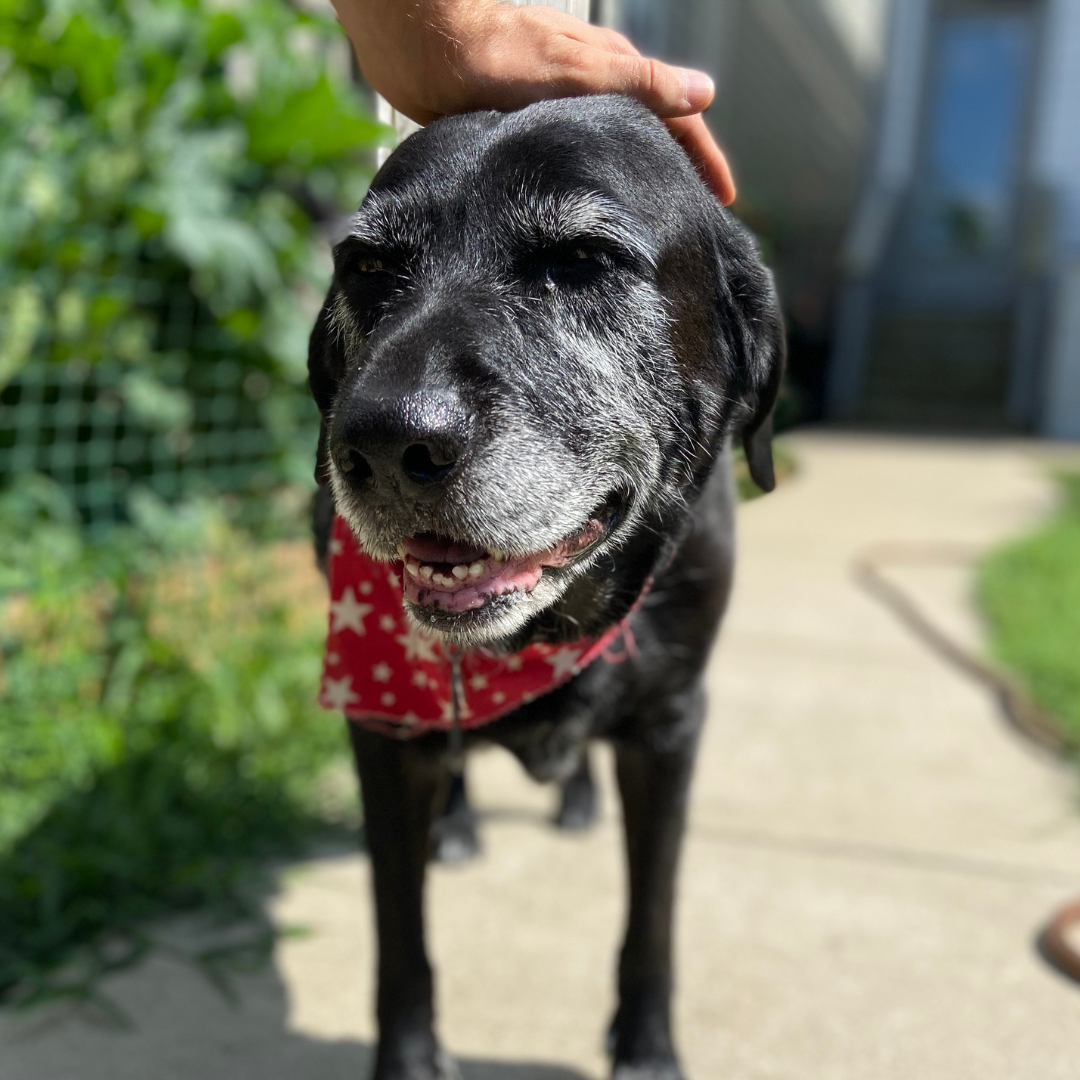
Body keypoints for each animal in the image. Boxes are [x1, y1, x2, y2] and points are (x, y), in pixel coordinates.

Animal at [308, 95, 781, 1080]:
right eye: (368, 269)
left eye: (582, 262)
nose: (383, 445)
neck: (545, 631)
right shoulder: (382, 730)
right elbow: (398, 934)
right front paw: (406, 1059)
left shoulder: (670, 724)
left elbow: (653, 921)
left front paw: (647, 1052)